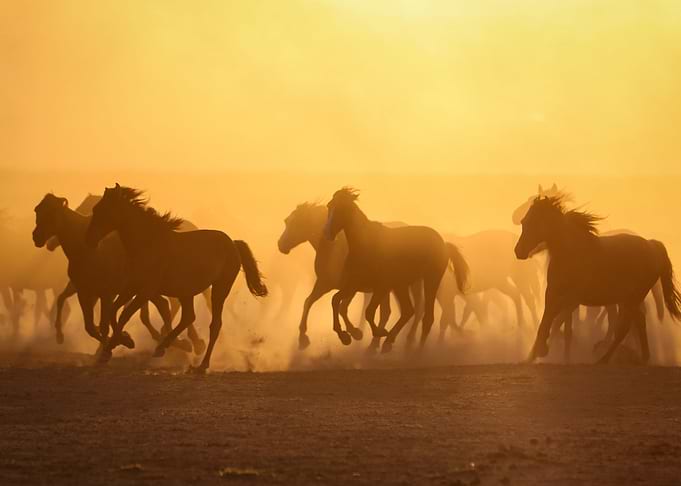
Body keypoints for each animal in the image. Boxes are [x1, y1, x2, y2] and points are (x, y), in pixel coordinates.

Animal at [85, 184, 268, 372]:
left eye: (103, 210)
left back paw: (202, 365)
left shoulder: (146, 290)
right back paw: (163, 347)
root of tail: (233, 243)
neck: (148, 244)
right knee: (188, 317)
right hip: (187, 291)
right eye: (96, 208)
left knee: (214, 324)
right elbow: (113, 311)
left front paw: (114, 347)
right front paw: (122, 341)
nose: (89, 240)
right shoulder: (132, 286)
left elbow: (125, 314)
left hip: (220, 288)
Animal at [323, 188, 468, 353]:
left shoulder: (381, 287)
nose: (327, 234)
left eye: (342, 209)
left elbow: (370, 312)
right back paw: (390, 342)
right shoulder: (354, 285)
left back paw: (413, 350)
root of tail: (444, 244)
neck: (365, 244)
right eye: (330, 206)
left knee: (426, 318)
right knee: (409, 311)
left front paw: (377, 333)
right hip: (403, 285)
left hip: (430, 280)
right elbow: (337, 301)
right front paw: (348, 336)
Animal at [515, 195, 681, 364]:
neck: (571, 252)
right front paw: (534, 354)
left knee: (625, 327)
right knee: (638, 321)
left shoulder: (571, 298)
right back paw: (643, 358)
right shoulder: (553, 293)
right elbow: (549, 320)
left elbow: (554, 321)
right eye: (524, 221)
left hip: (633, 298)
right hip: (628, 300)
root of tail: (652, 245)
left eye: (535, 222)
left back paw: (604, 359)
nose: (518, 251)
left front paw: (542, 350)